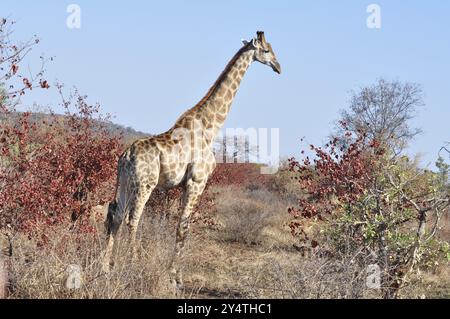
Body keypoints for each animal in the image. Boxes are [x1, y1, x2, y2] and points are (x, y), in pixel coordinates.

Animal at [102, 30, 282, 290]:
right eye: (267, 50)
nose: (278, 67)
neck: (210, 126)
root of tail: (124, 157)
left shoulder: (186, 184)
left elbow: (180, 225)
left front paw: (174, 275)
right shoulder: (197, 180)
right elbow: (183, 226)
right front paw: (175, 278)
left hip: (125, 183)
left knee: (115, 215)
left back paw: (106, 268)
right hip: (144, 184)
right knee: (132, 219)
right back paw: (132, 265)